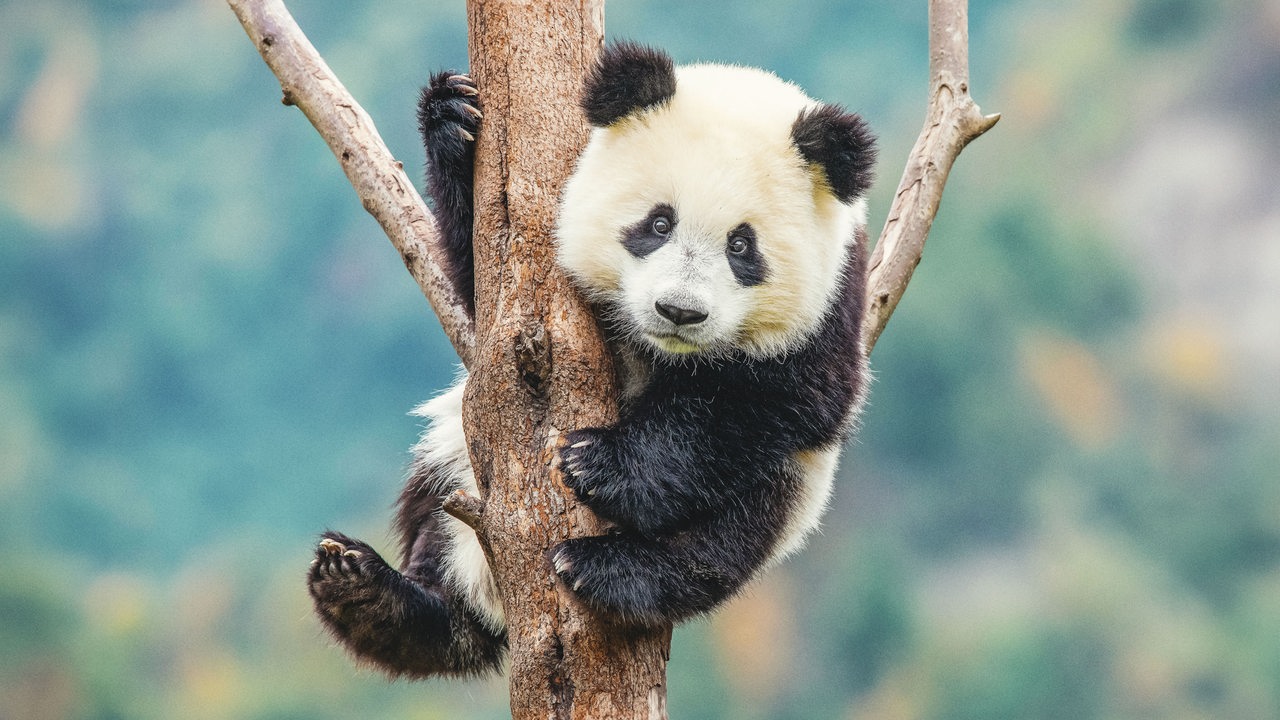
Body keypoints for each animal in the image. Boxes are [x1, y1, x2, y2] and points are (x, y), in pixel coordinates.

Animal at [304, 41, 875, 676]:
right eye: (658, 222)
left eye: (741, 245)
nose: (679, 311)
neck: (664, 350)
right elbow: (481, 283)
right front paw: (454, 119)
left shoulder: (833, 306)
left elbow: (778, 401)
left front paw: (600, 463)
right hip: (457, 460)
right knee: (438, 524)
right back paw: (373, 597)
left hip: (793, 488)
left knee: (723, 537)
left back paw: (609, 569)